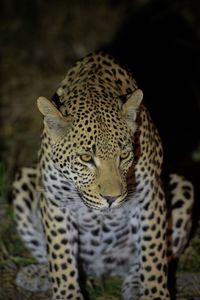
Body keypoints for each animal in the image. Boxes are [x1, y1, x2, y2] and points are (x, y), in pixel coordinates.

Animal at [12, 52, 194, 300]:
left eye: (124, 155)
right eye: (86, 158)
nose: (112, 199)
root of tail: (99, 270)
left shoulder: (149, 198)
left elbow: (153, 255)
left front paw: (154, 294)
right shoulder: (55, 201)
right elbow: (60, 256)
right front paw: (67, 294)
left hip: (182, 187)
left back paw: (135, 285)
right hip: (24, 180)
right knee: (48, 254)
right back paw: (37, 274)